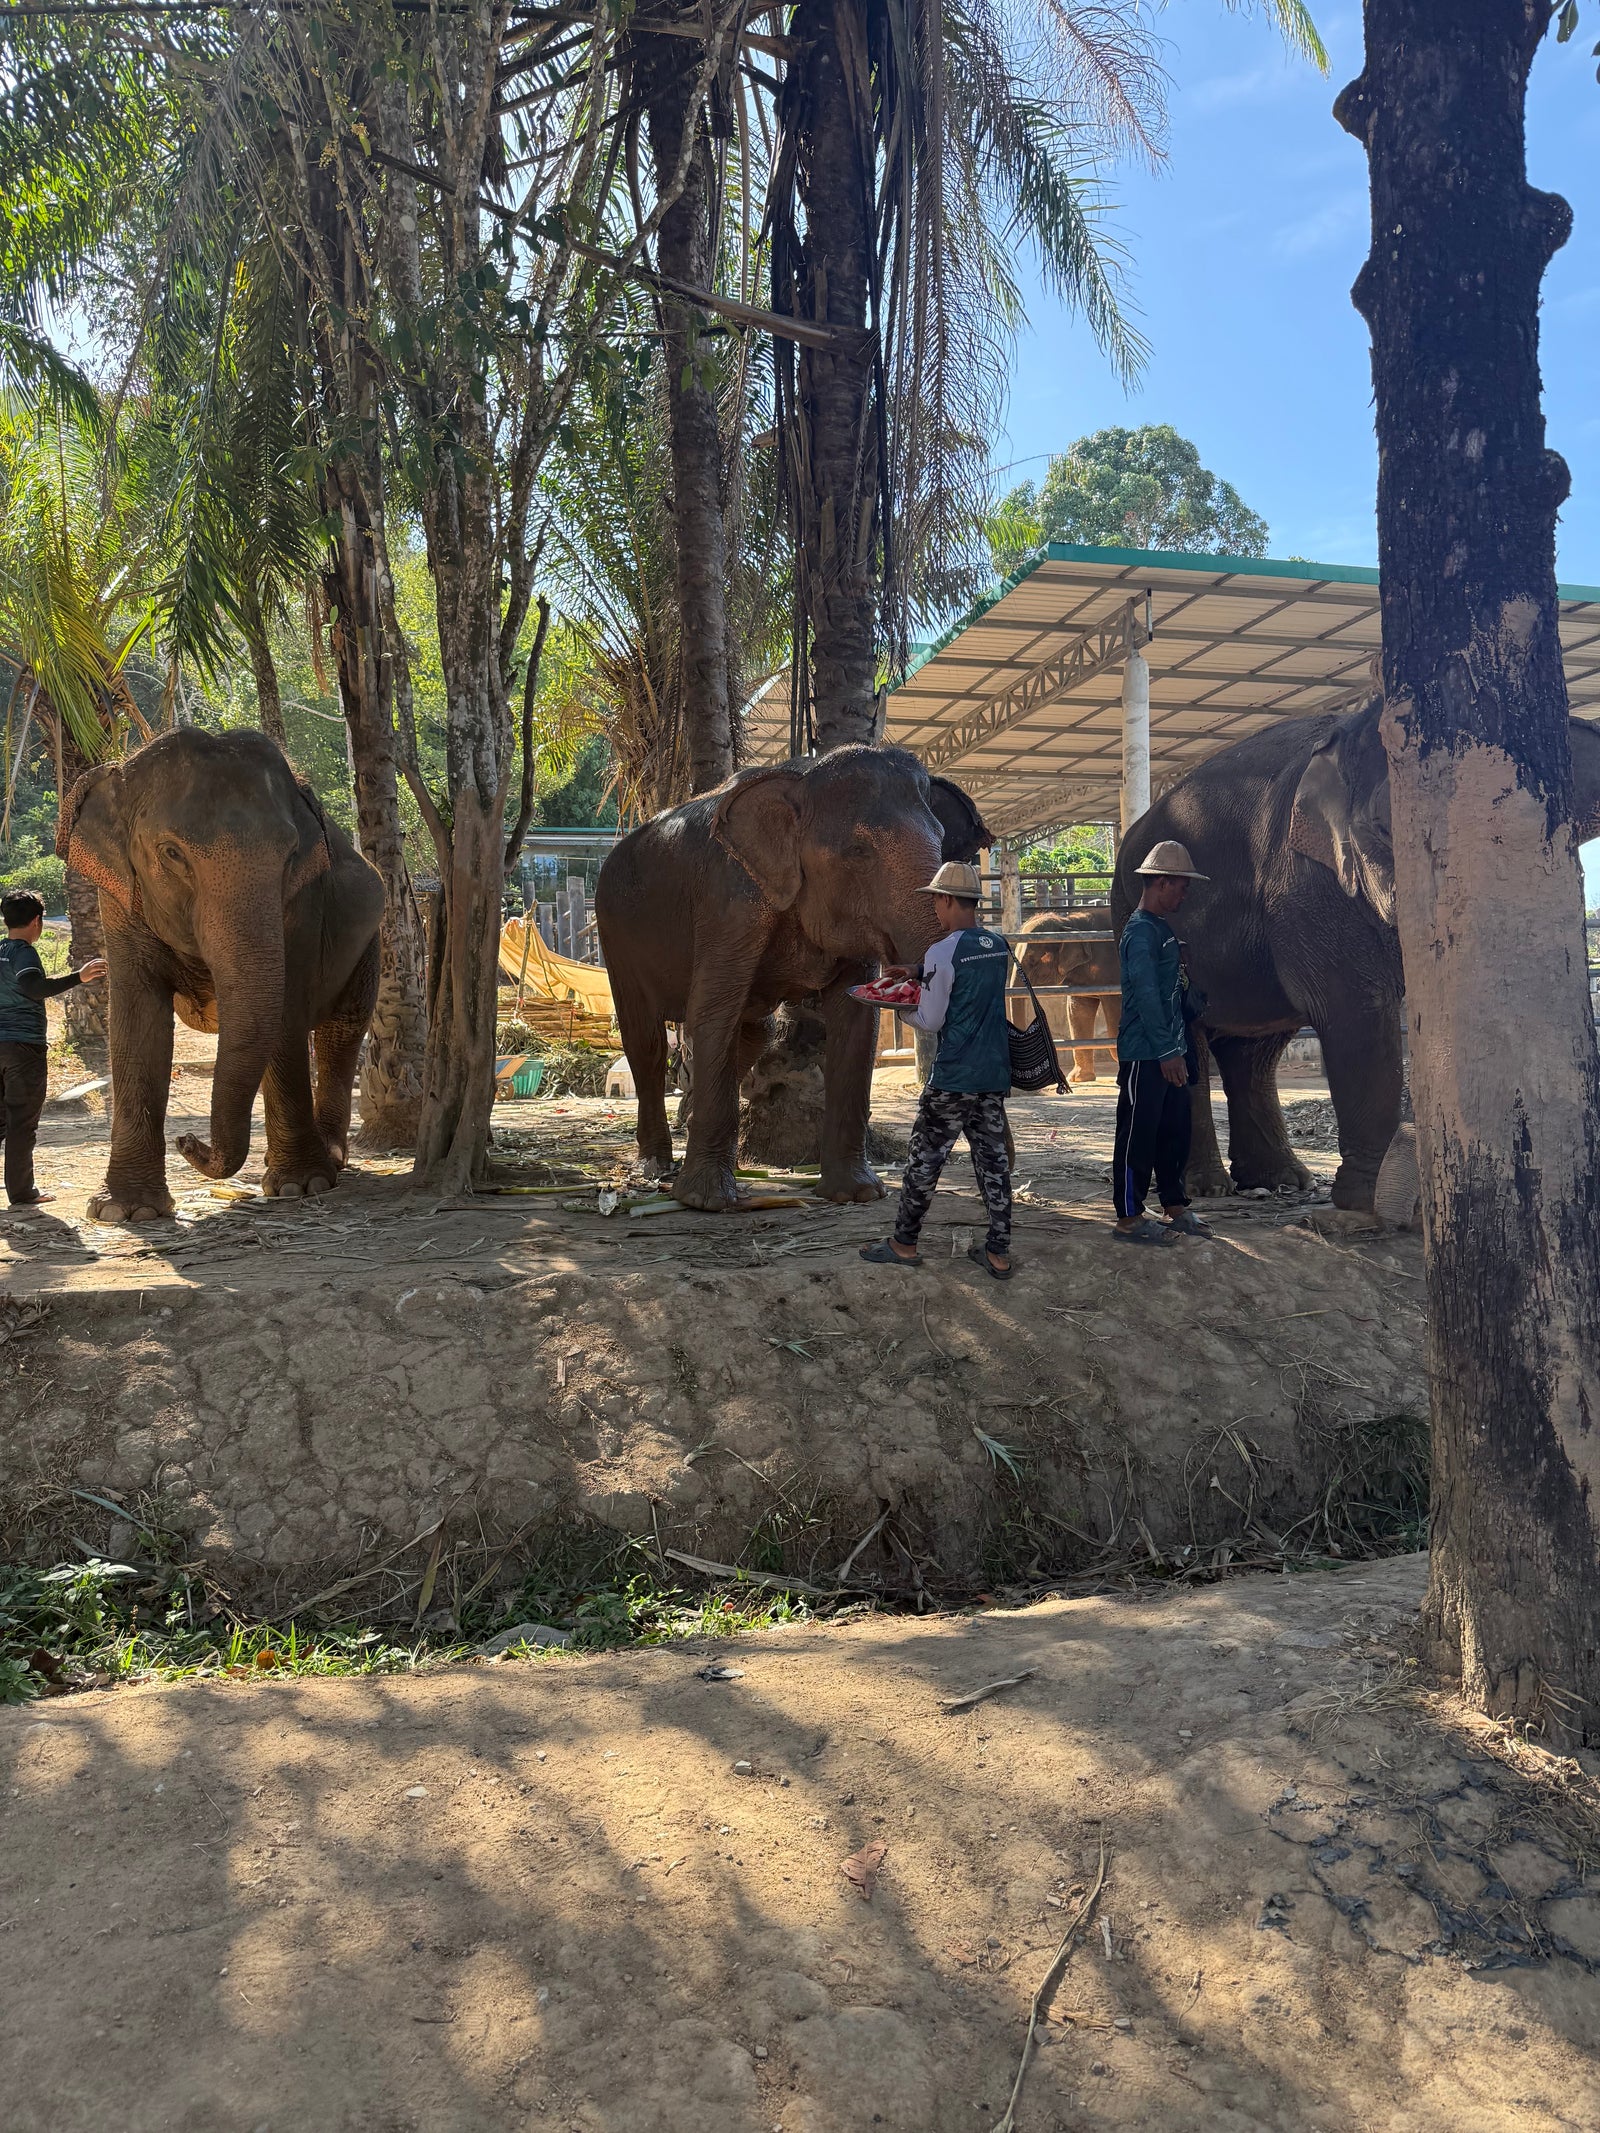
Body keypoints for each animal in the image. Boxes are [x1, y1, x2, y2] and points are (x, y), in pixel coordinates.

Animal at [58, 728, 384, 1220]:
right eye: (171, 853)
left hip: (370, 944)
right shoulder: (118, 901)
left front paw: (300, 1186)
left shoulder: (302, 907)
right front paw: (126, 1212)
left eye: (291, 855)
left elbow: (284, 1016)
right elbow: (138, 1021)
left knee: (340, 1033)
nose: (187, 1139)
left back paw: (330, 1161)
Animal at [595, 745, 990, 1211]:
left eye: (942, 841)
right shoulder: (729, 900)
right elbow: (712, 1011)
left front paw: (857, 1193)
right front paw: (706, 1202)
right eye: (858, 851)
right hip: (615, 932)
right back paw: (655, 1165)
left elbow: (857, 1024)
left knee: (754, 1032)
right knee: (647, 1040)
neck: (803, 774)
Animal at [1111, 696, 1600, 1210]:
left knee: (1256, 1047)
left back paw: (1284, 1180)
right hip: (1130, 906)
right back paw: (1206, 1188)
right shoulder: (1307, 886)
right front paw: (1369, 1203)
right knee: (1193, 1037)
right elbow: (1356, 1010)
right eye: (1389, 828)